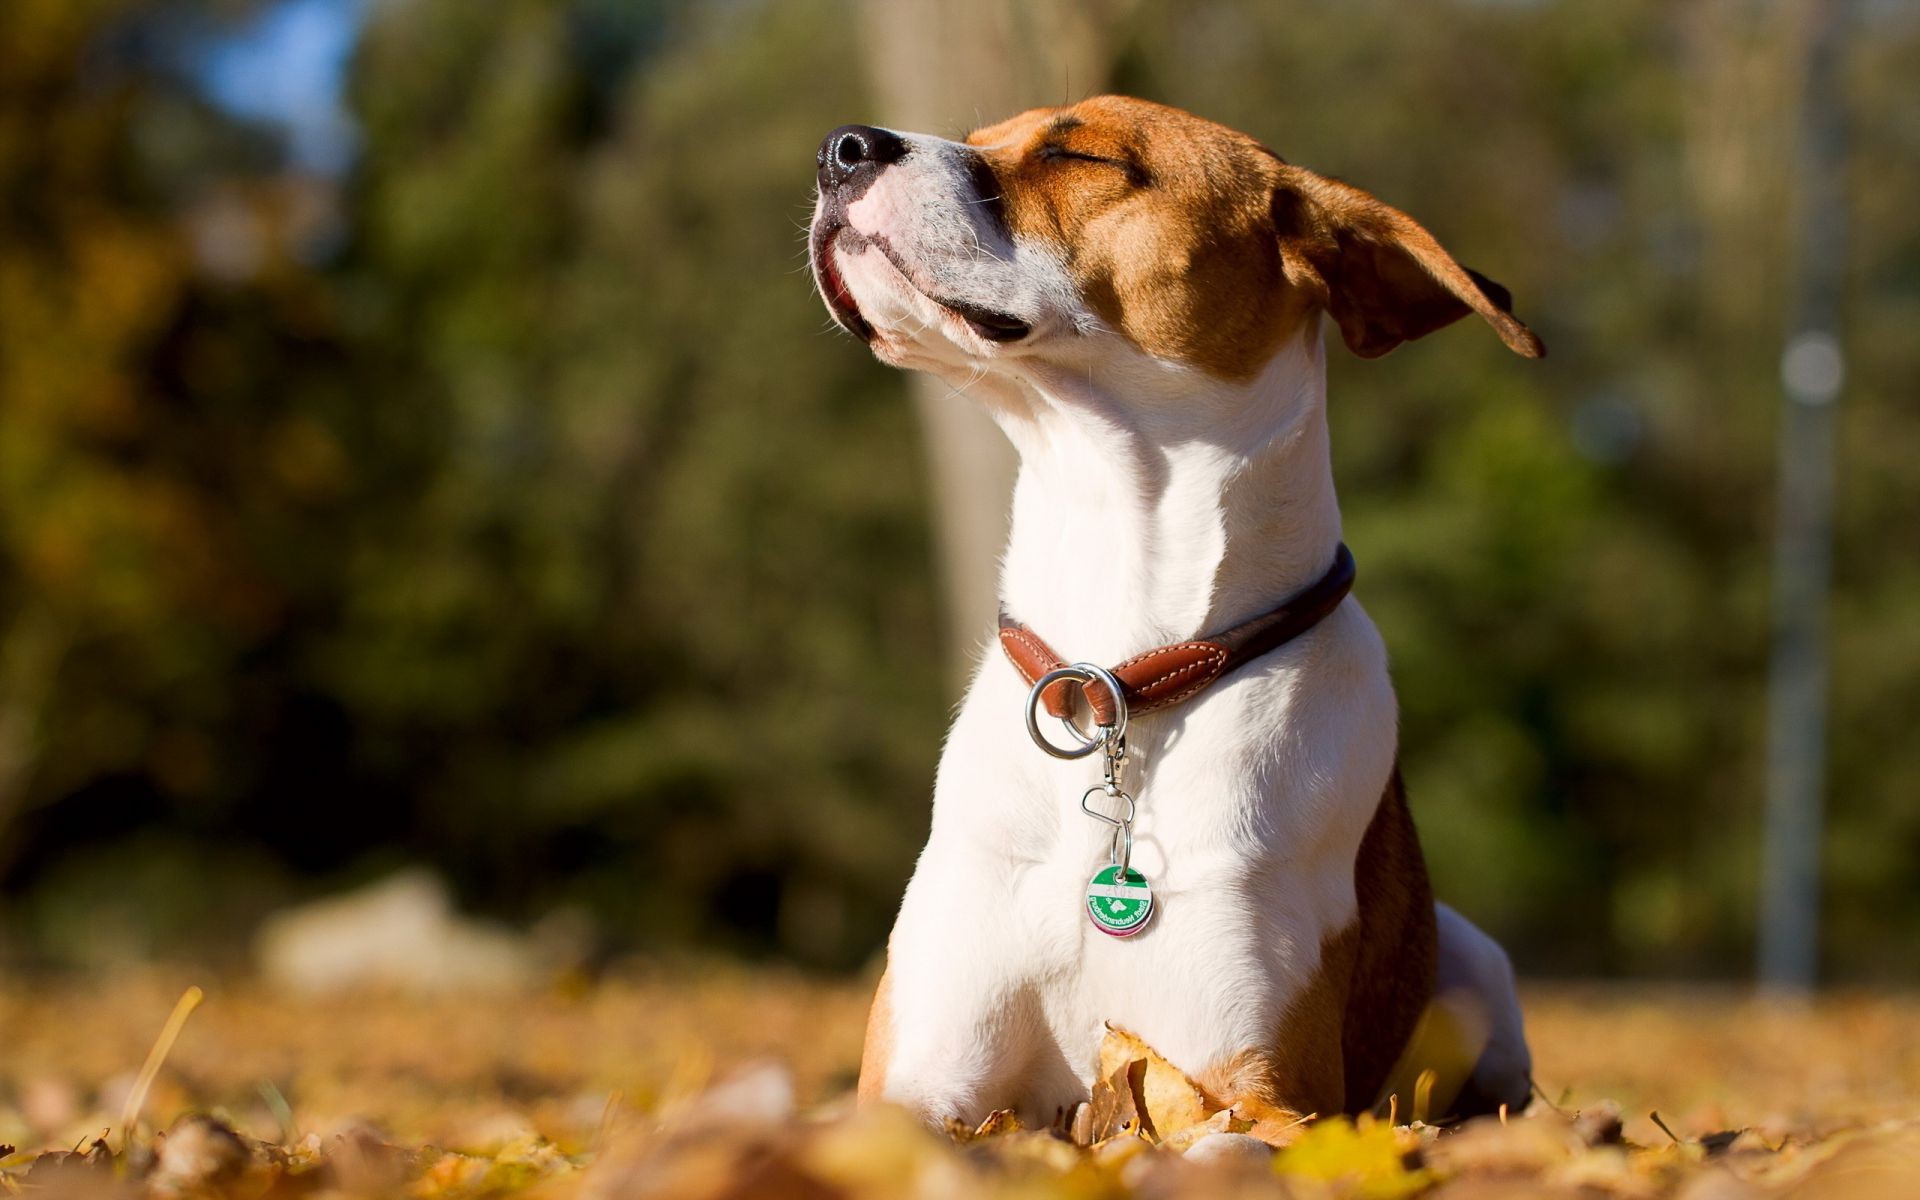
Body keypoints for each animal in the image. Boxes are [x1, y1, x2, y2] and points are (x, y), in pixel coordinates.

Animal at [810, 96, 1543, 1128]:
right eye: (984, 133)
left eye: (1085, 155)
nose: (841, 148)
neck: (1118, 673)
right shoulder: (914, 1080)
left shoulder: (1263, 1090)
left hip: (1478, 968)